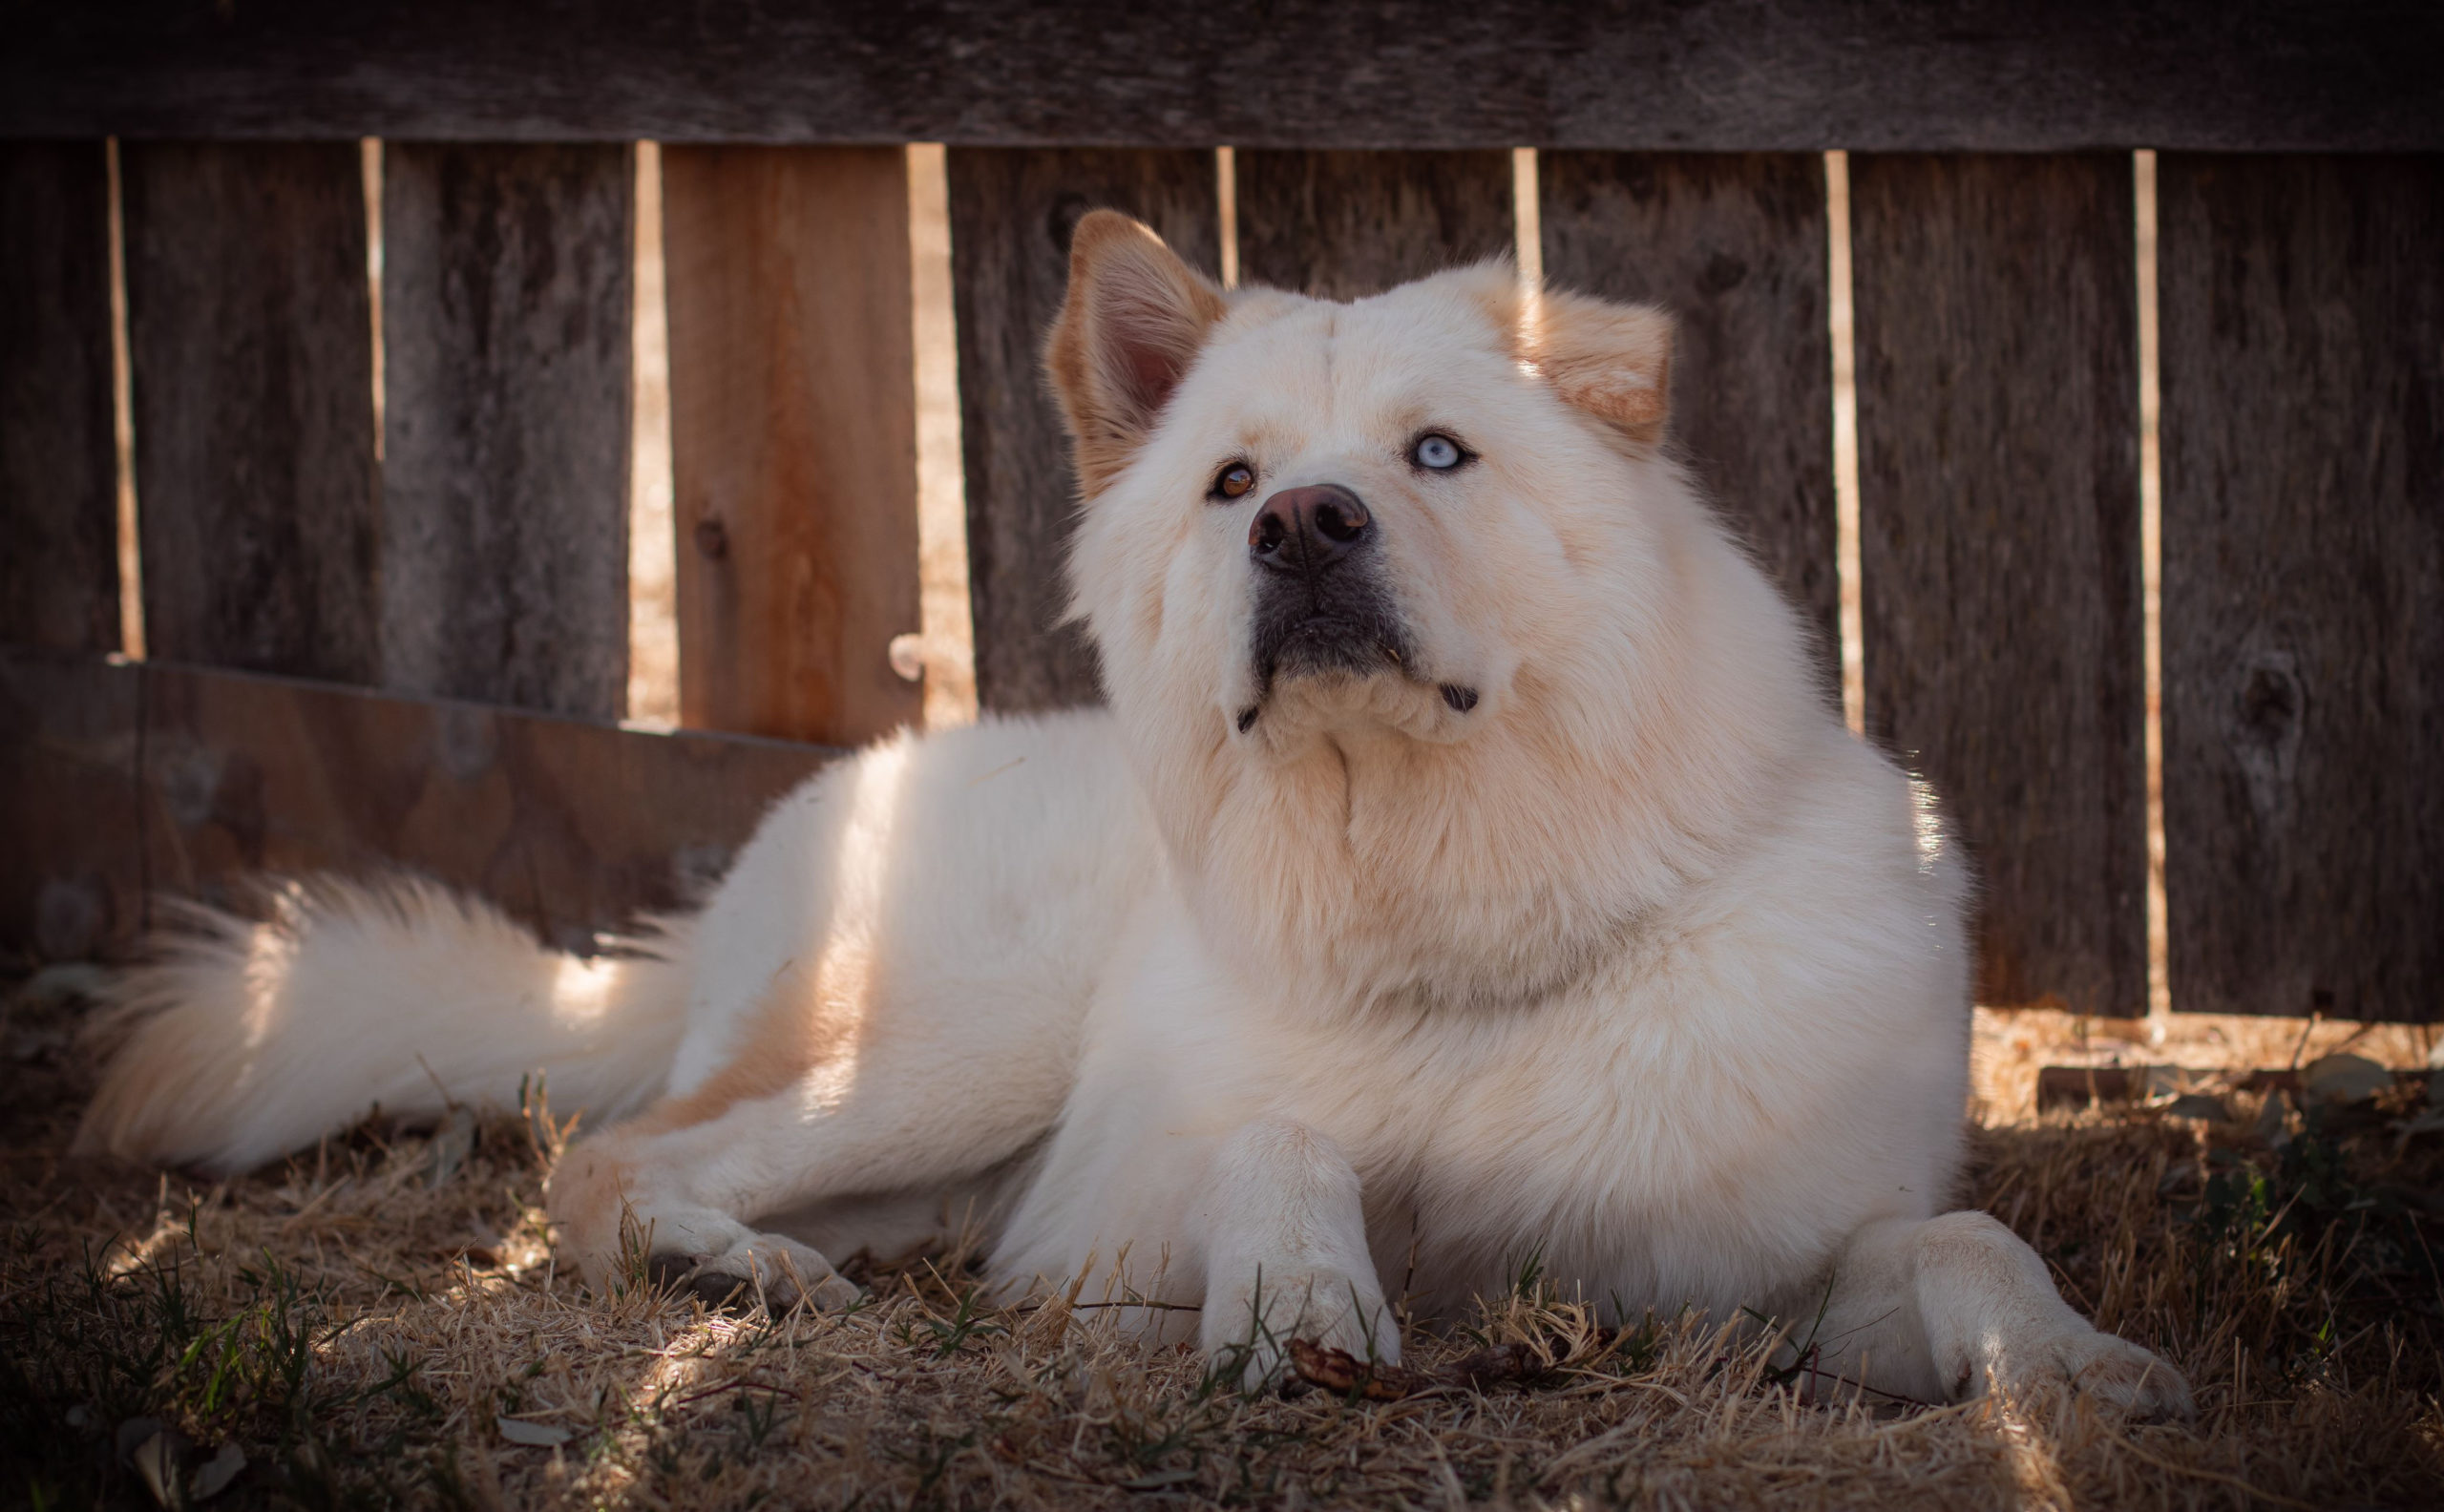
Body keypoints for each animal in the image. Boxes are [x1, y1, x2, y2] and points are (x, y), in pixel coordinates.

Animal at [76, 212, 2189, 1417]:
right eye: (1231, 481)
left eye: (1435, 453)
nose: (1303, 526)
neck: (1456, 925)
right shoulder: (1107, 1220)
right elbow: (1273, 1143)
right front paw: (1295, 1290)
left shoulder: (1783, 1264)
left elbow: (1962, 1248)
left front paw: (2085, 1370)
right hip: (955, 1055)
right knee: (613, 1161)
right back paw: (734, 1272)